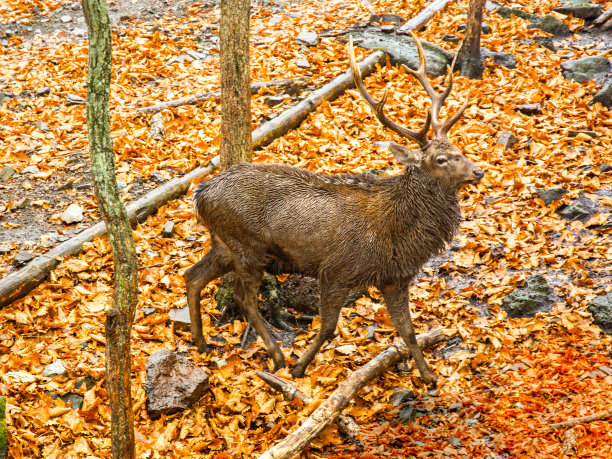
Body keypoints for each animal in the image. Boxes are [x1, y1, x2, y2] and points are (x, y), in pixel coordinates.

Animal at [184, 30, 486, 386]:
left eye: (458, 149)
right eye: (440, 159)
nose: (478, 171)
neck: (396, 234)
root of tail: (201, 194)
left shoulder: (394, 277)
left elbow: (408, 331)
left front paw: (428, 377)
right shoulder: (338, 270)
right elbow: (328, 327)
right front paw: (300, 367)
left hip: (224, 243)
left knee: (192, 276)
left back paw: (201, 343)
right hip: (248, 246)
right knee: (243, 298)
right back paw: (277, 356)